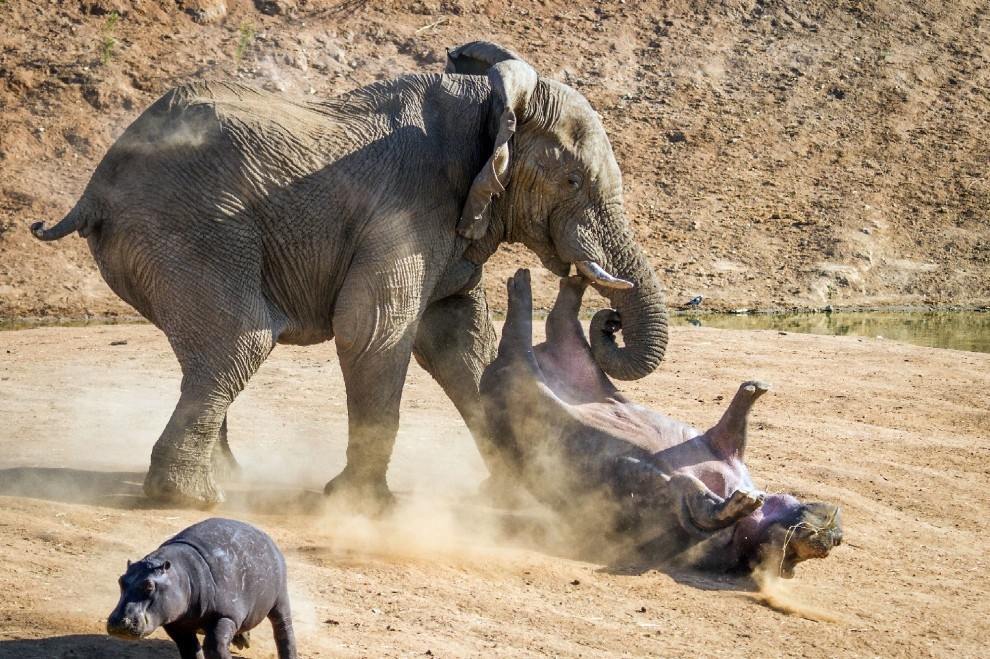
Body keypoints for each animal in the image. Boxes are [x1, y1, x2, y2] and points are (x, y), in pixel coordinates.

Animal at [31, 41, 672, 508]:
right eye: (572, 182)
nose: (606, 315)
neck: (491, 104)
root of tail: (95, 186)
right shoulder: (407, 205)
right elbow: (374, 329)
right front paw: (364, 505)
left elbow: (459, 339)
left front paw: (514, 492)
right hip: (190, 228)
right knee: (240, 341)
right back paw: (190, 500)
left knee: (210, 351)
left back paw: (227, 481)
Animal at [108, 520, 296, 659]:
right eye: (120, 580)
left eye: (149, 585)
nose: (118, 622)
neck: (182, 575)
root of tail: (264, 535)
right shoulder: (175, 623)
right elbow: (190, 649)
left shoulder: (225, 616)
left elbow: (215, 646)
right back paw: (243, 640)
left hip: (280, 598)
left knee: (283, 630)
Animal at [482, 270, 844, 576]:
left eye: (797, 556)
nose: (835, 536)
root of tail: (490, 372)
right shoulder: (718, 444)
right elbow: (731, 430)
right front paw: (755, 388)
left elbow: (698, 504)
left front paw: (742, 501)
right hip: (548, 359)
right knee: (557, 319)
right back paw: (544, 281)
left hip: (520, 376)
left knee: (528, 332)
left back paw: (524, 283)